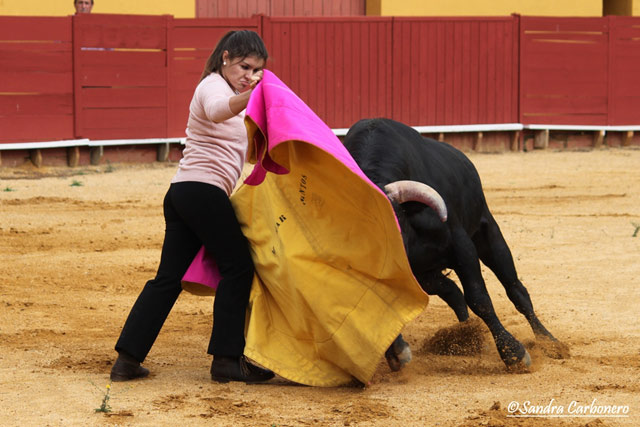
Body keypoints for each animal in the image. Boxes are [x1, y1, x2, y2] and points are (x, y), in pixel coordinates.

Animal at [342, 118, 568, 372]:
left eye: (395, 227)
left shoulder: (462, 248)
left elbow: (479, 298)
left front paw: (514, 353)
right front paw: (396, 351)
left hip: (489, 235)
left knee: (515, 290)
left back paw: (550, 343)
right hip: (426, 275)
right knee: (453, 292)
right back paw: (466, 337)